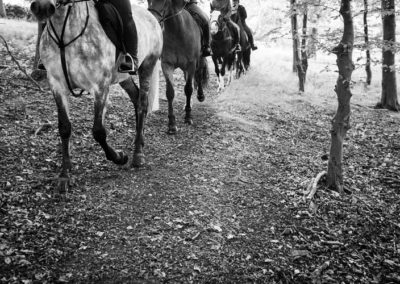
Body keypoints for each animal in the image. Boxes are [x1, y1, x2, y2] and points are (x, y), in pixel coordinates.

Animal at [29, 0, 164, 193]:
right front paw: (64, 175)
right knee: (135, 97)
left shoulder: (100, 86)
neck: (66, 31)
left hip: (148, 66)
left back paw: (138, 154)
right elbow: (64, 128)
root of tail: (152, 17)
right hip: (123, 77)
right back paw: (141, 141)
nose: (42, 7)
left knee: (141, 104)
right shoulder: (56, 85)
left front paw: (119, 157)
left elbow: (98, 131)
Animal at [147, 0, 209, 135]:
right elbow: (170, 92)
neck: (177, 32)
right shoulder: (167, 65)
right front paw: (171, 124)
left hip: (200, 59)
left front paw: (188, 117)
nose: (152, 20)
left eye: (164, 1)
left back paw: (200, 96)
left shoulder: (191, 64)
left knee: (199, 75)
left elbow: (188, 89)